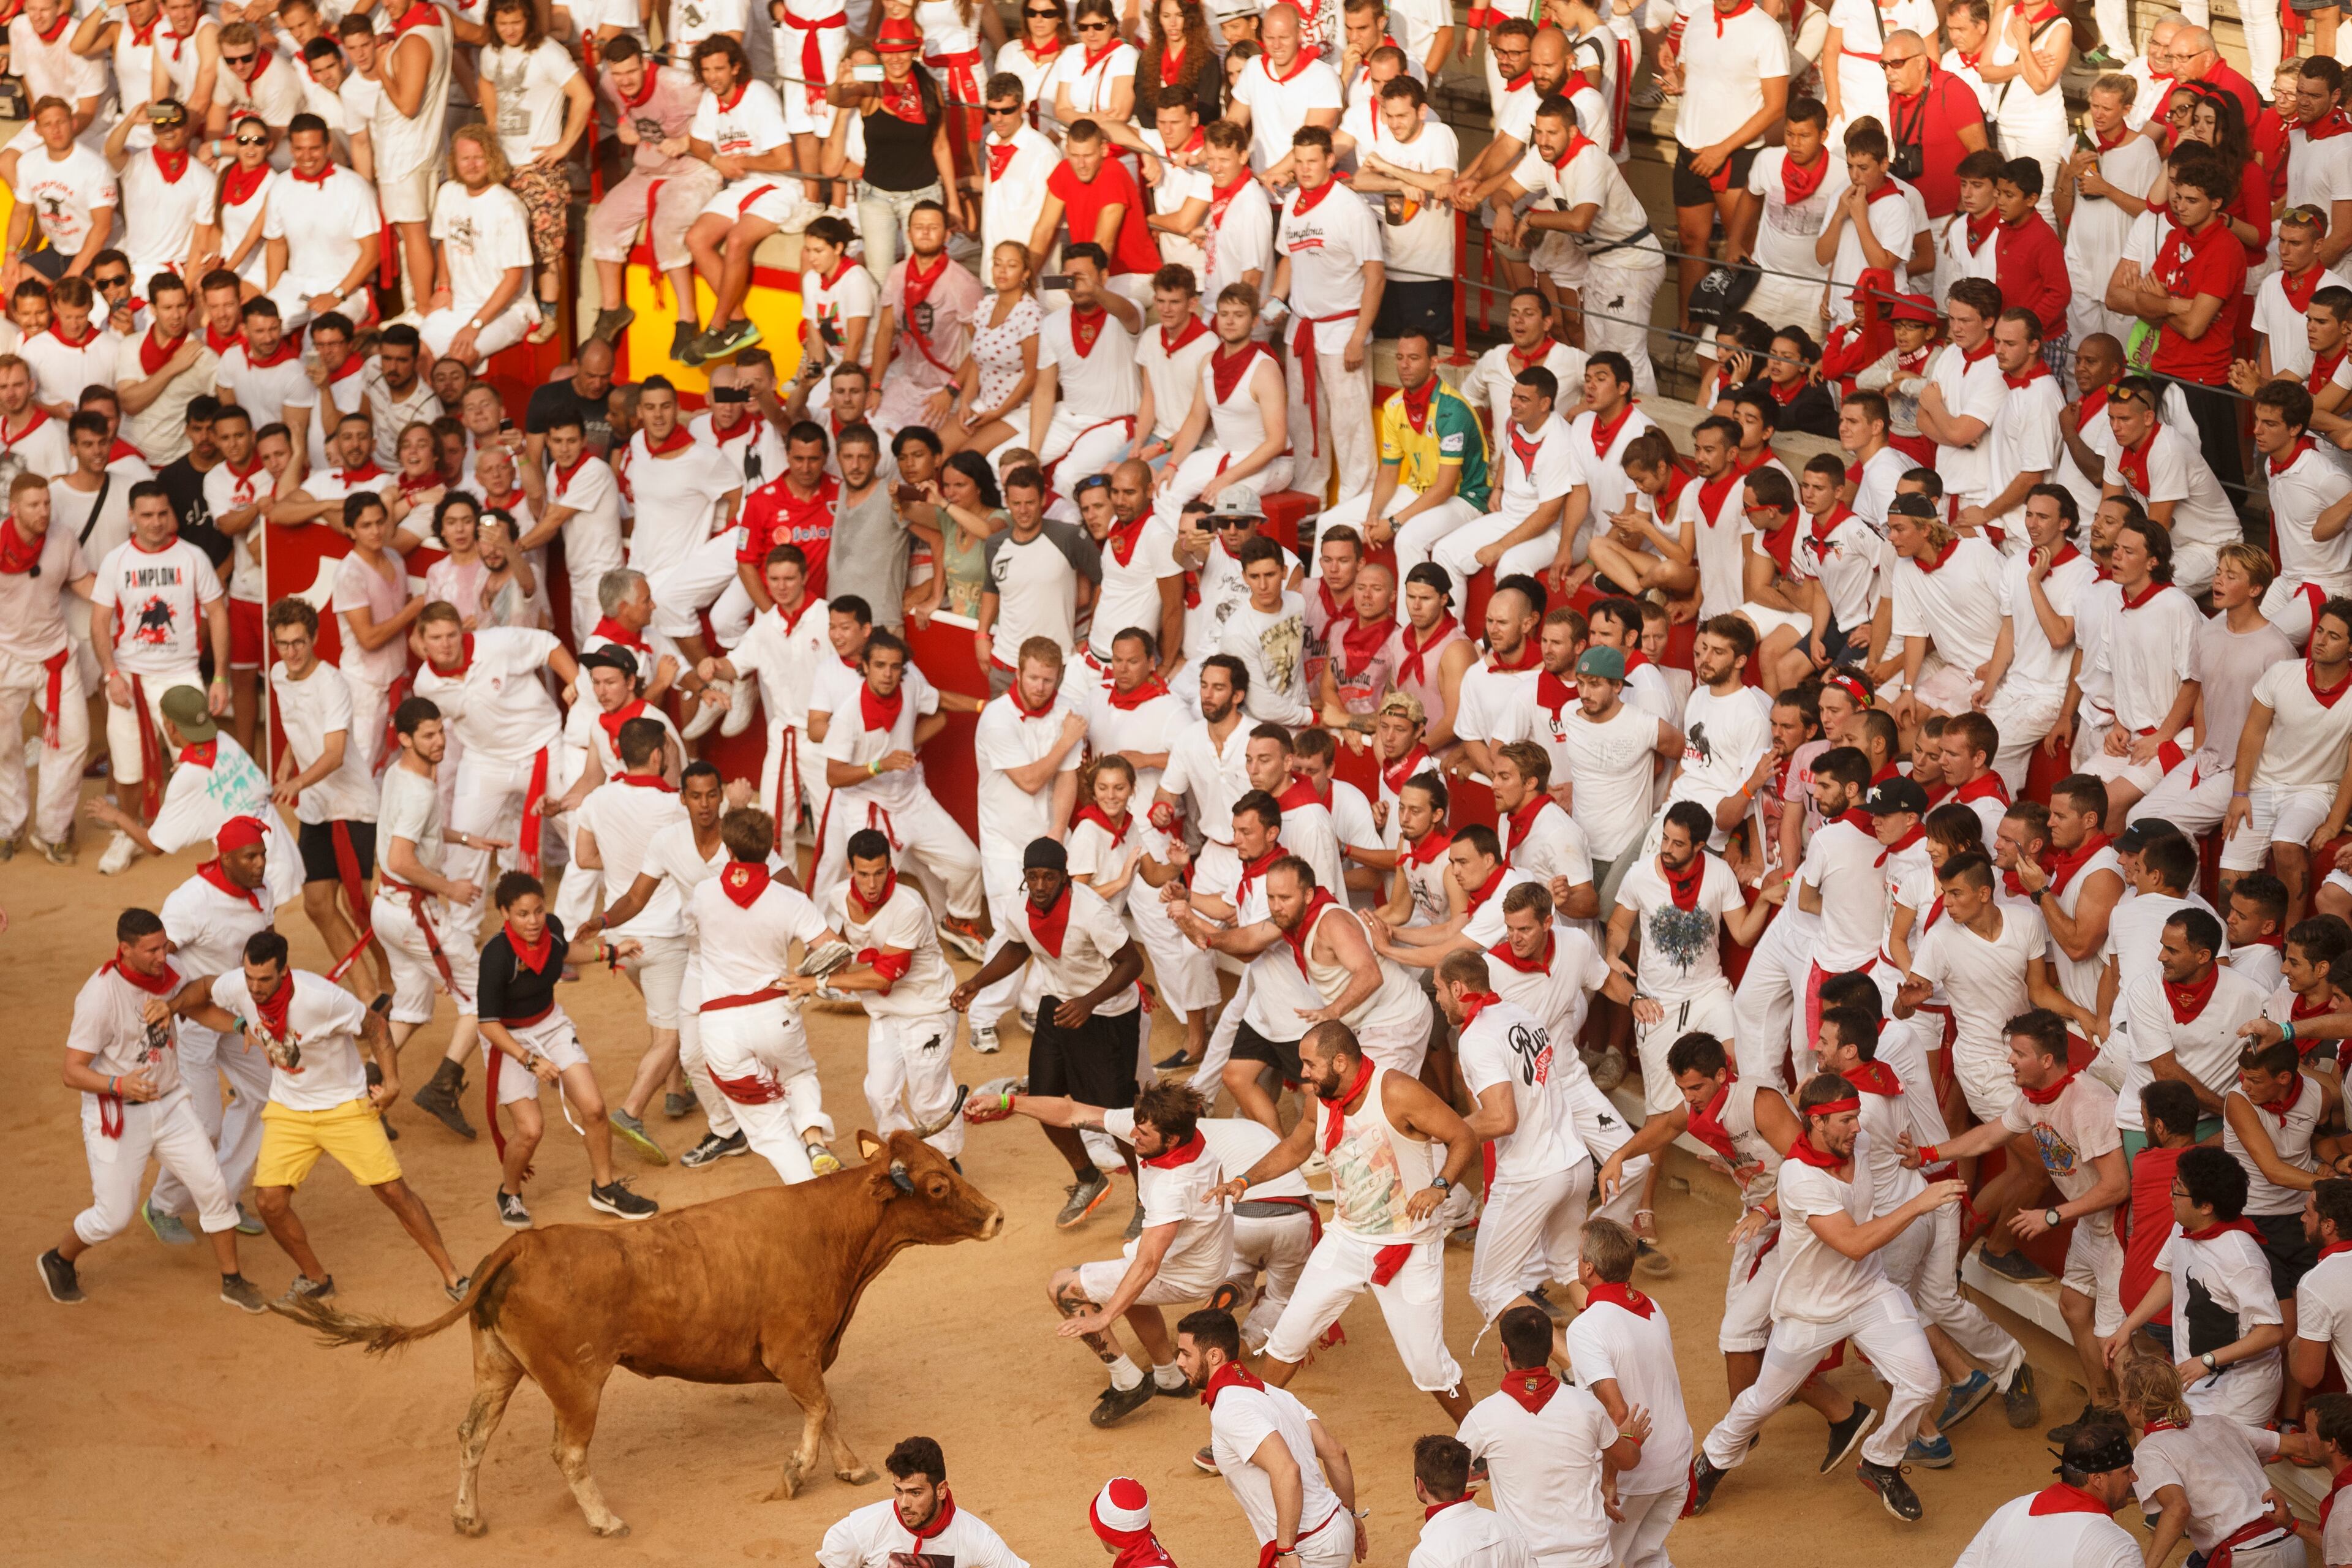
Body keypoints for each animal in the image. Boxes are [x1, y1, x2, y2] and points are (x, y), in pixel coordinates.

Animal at [276, 1127, 1003, 1538]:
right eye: (938, 1184)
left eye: (949, 1162)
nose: (996, 1216)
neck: (832, 1231)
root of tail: (523, 1246)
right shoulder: (792, 1350)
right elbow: (821, 1406)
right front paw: (796, 1475)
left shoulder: (807, 1355)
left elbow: (829, 1408)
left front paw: (848, 1466)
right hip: (576, 1383)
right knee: (568, 1452)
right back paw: (605, 1520)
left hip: (496, 1365)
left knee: (471, 1434)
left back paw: (468, 1517)